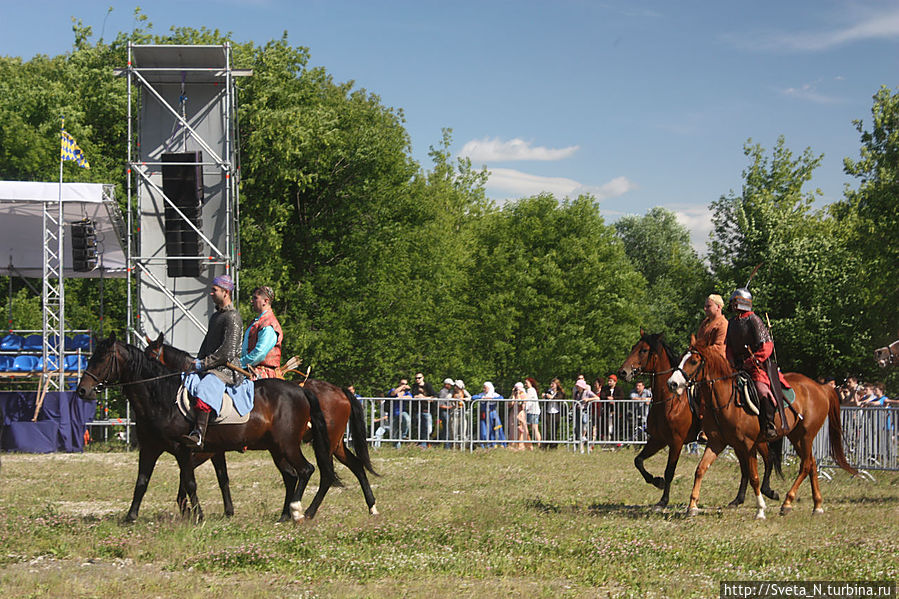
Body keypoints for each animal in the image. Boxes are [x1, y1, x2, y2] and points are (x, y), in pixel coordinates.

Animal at [75, 336, 336, 524]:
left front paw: (197, 515)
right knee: (292, 476)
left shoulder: (185, 450)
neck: (161, 397)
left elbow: (189, 482)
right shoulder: (150, 449)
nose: (82, 391)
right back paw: (284, 515)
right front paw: (130, 516)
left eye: (102, 359)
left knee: (306, 470)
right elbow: (142, 481)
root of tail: (301, 390)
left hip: (288, 445)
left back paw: (300, 511)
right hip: (276, 448)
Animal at [146, 332, 378, 520]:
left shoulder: (203, 450)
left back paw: (306, 511)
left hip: (320, 445)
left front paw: (185, 505)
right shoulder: (216, 450)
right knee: (355, 465)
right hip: (333, 444)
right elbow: (220, 477)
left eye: (150, 356)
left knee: (324, 474)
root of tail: (339, 390)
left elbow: (186, 471)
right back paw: (371, 506)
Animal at [620, 330, 780, 508]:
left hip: (756, 441)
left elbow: (669, 471)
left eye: (643, 350)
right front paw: (656, 481)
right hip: (736, 442)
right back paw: (738, 499)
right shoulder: (658, 439)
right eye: (634, 348)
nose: (623, 372)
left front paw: (663, 500)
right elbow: (638, 460)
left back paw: (768, 491)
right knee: (745, 468)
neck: (670, 401)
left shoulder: (676, 442)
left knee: (768, 458)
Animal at [668, 336, 856, 516]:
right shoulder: (717, 442)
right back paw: (817, 505)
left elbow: (754, 477)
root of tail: (821, 388)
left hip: (806, 435)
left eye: (693, 361)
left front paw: (760, 509)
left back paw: (787, 502)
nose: (672, 383)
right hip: (796, 436)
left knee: (806, 465)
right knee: (812, 463)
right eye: (681, 357)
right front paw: (692, 506)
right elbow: (700, 469)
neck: (726, 400)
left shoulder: (748, 444)